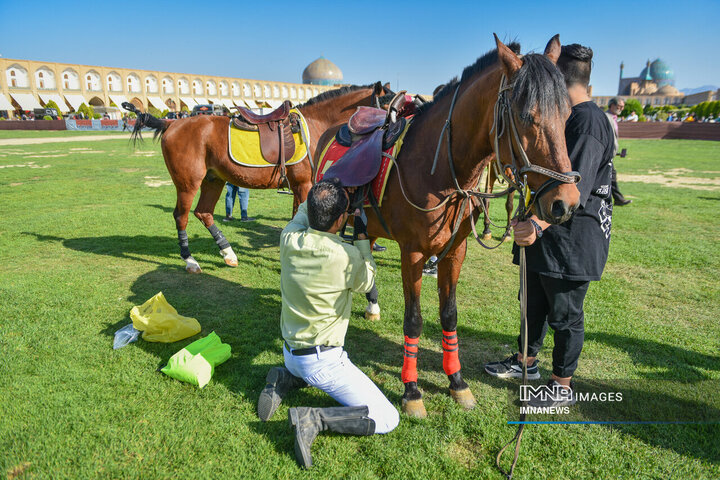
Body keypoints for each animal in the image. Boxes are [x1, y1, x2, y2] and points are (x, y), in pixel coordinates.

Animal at [129, 82, 388, 274]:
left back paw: (228, 253)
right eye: (389, 103)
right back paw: (190, 260)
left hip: (213, 180)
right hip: (188, 184)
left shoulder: (299, 187)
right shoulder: (303, 185)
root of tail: (171, 122)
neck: (316, 126)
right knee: (181, 217)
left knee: (203, 213)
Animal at [358, 34, 584, 416]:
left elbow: (449, 315)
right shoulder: (412, 253)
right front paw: (412, 390)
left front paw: (457, 383)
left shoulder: (454, 252)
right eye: (526, 116)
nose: (565, 203)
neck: (438, 171)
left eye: (567, 115)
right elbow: (414, 319)